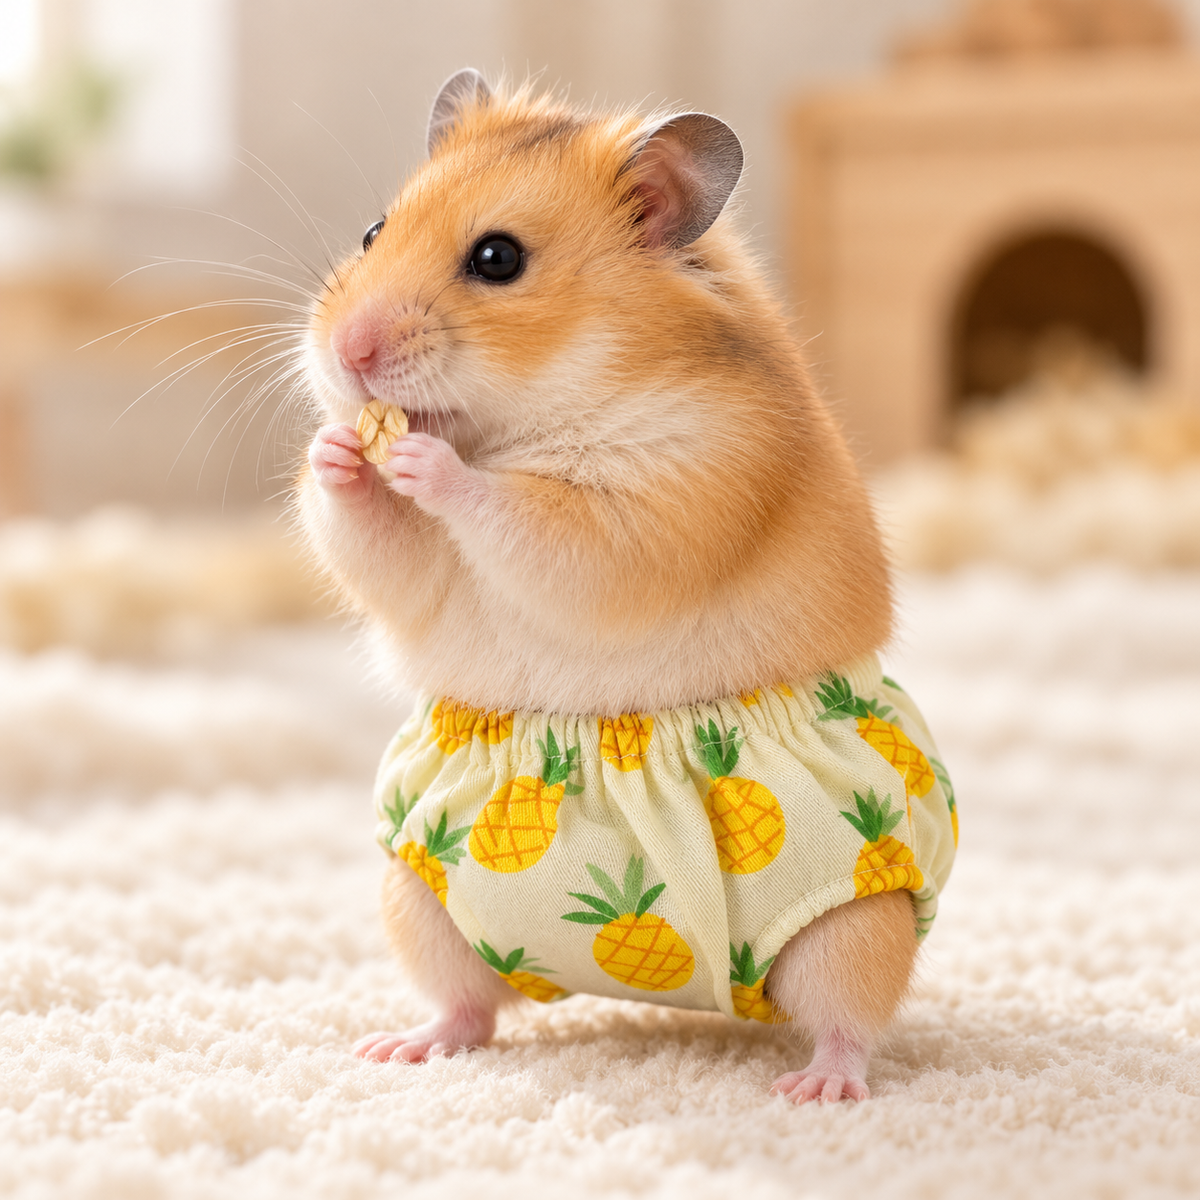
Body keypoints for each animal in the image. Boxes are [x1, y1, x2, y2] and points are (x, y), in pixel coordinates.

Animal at [298, 70, 921, 1105]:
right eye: (373, 231)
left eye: (498, 259)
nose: (347, 354)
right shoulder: (420, 574)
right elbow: (379, 545)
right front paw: (337, 449)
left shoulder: (657, 506)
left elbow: (531, 522)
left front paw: (422, 461)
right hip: (417, 892)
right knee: (471, 1003)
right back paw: (400, 1048)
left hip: (855, 907)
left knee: (850, 1012)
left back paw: (817, 1090)